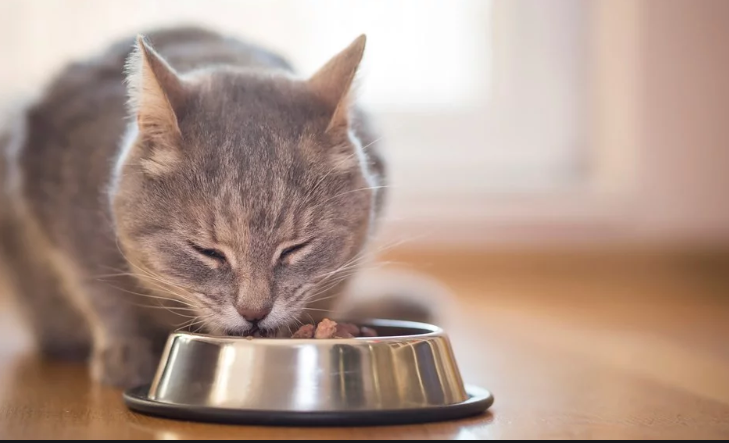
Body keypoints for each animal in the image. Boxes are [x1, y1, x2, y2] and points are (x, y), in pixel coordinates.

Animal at [0, 26, 438, 388]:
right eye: (207, 252)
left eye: (295, 249)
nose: (254, 312)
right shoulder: (63, 216)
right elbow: (100, 294)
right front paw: (124, 351)